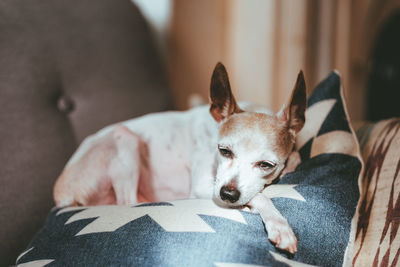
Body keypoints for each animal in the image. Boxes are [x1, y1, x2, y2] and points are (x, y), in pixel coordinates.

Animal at [53, 61, 306, 254]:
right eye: (224, 151)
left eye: (266, 165)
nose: (227, 194)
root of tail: (61, 197)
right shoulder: (206, 185)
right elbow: (261, 197)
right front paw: (279, 225)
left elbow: (295, 159)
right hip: (125, 138)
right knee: (128, 202)